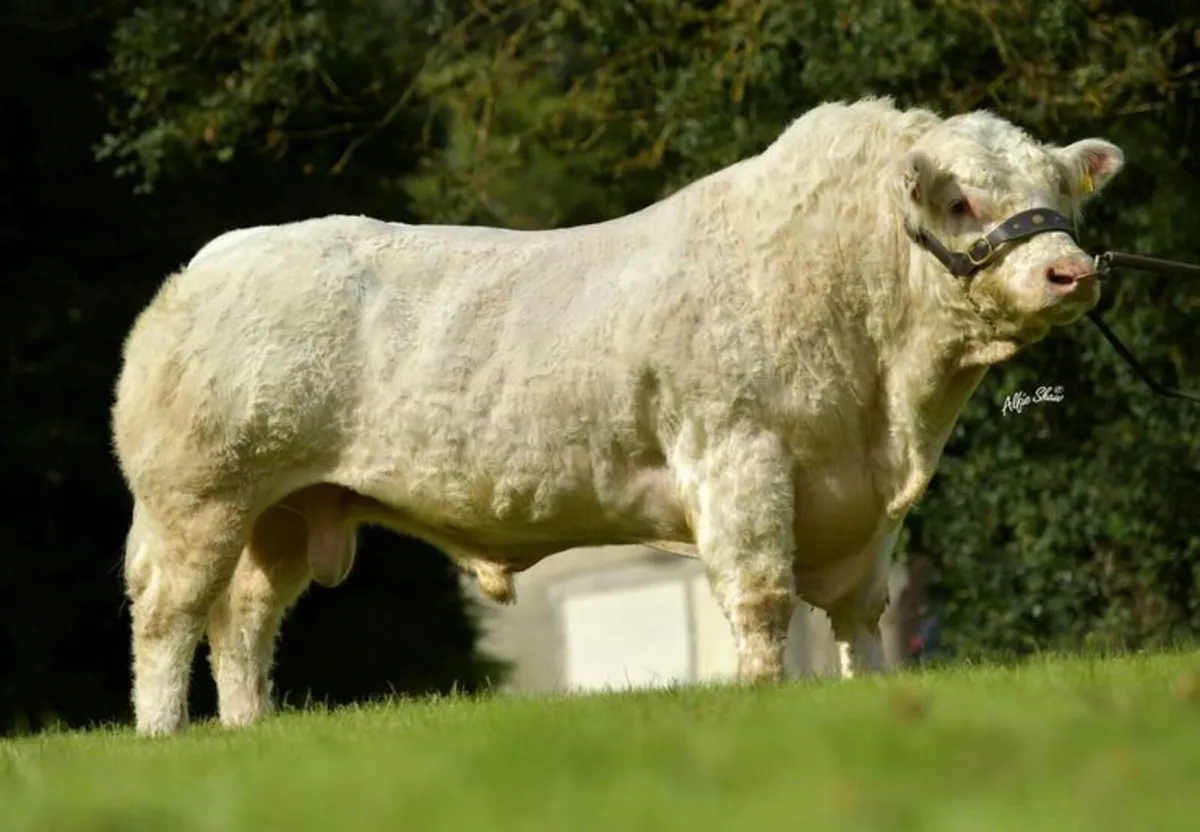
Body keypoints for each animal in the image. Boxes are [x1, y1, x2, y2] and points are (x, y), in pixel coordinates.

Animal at [111, 96, 1124, 736]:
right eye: (962, 199)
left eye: (1061, 194)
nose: (1071, 271)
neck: (891, 408)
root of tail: (212, 261)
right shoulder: (738, 456)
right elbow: (761, 600)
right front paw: (764, 701)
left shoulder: (864, 512)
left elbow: (860, 615)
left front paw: (868, 695)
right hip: (197, 500)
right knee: (168, 618)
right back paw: (164, 739)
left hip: (280, 513)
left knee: (243, 623)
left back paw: (249, 730)